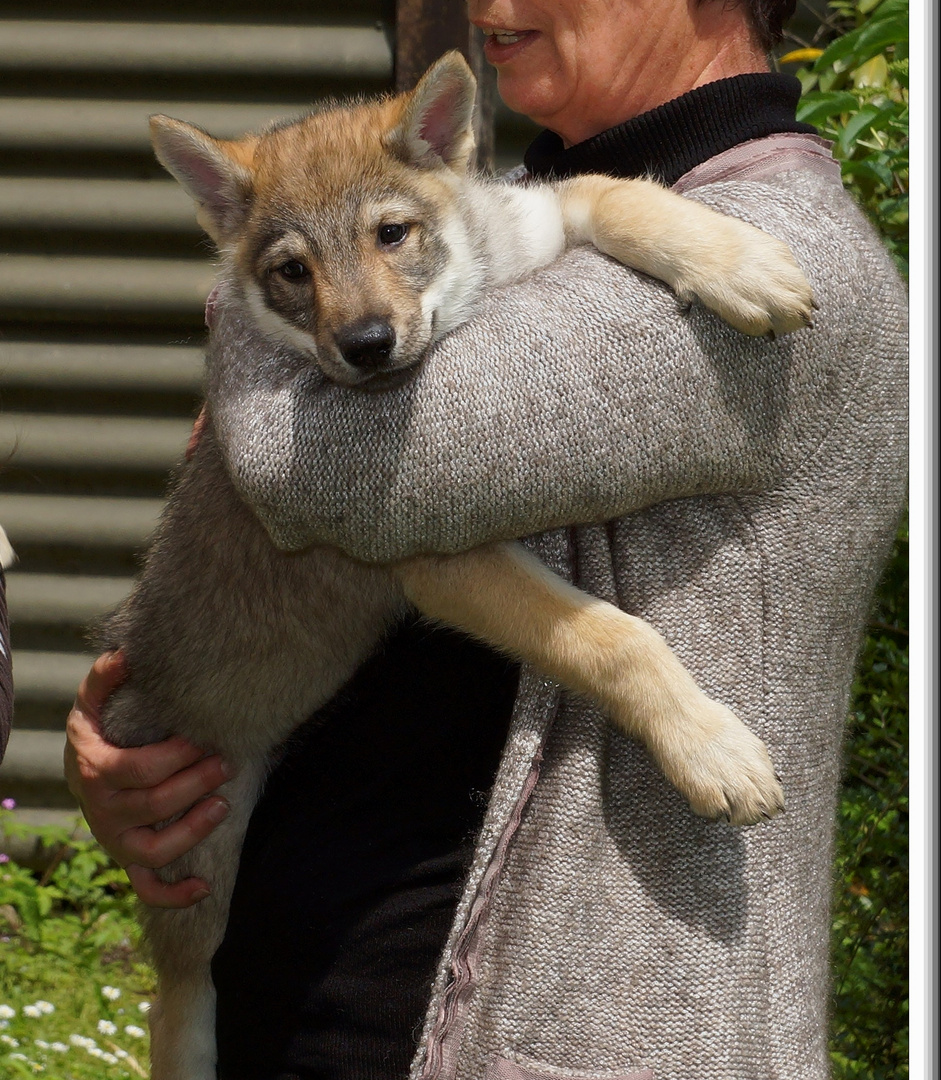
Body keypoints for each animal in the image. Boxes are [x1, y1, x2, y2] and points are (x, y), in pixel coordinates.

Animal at [103, 50, 808, 1080]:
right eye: (291, 272)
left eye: (391, 233)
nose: (364, 348)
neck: (477, 296)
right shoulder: (441, 563)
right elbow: (613, 638)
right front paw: (709, 750)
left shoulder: (545, 214)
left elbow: (619, 191)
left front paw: (739, 264)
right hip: (198, 878)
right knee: (179, 1000)